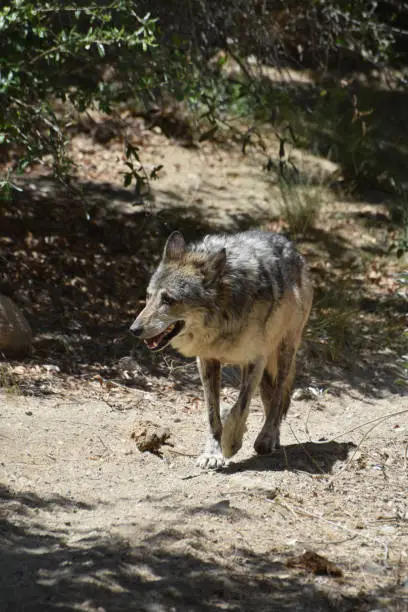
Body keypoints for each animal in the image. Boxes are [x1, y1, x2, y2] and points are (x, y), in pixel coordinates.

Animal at [131, 230, 312, 468]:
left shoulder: (256, 359)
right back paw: (273, 438)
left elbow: (240, 407)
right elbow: (213, 414)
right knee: (270, 398)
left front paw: (230, 443)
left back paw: (266, 437)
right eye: (148, 296)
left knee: (278, 398)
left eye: (168, 299)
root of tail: (291, 246)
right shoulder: (207, 361)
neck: (224, 314)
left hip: (283, 353)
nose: (134, 329)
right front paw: (212, 453)